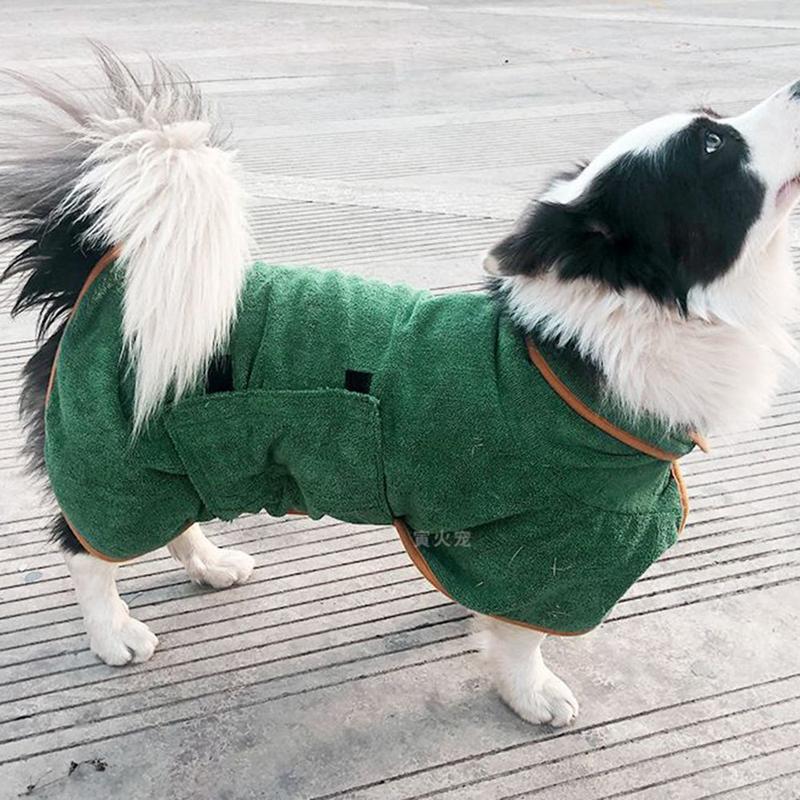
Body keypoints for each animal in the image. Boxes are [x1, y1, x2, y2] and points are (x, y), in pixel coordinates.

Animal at [1, 48, 798, 728]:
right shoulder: (559, 536)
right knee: (82, 546)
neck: (612, 325)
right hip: (113, 458)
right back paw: (113, 633)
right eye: (713, 147)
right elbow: (524, 637)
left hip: (166, 459)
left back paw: (210, 565)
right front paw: (531, 693)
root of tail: (101, 273)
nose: (795, 82)